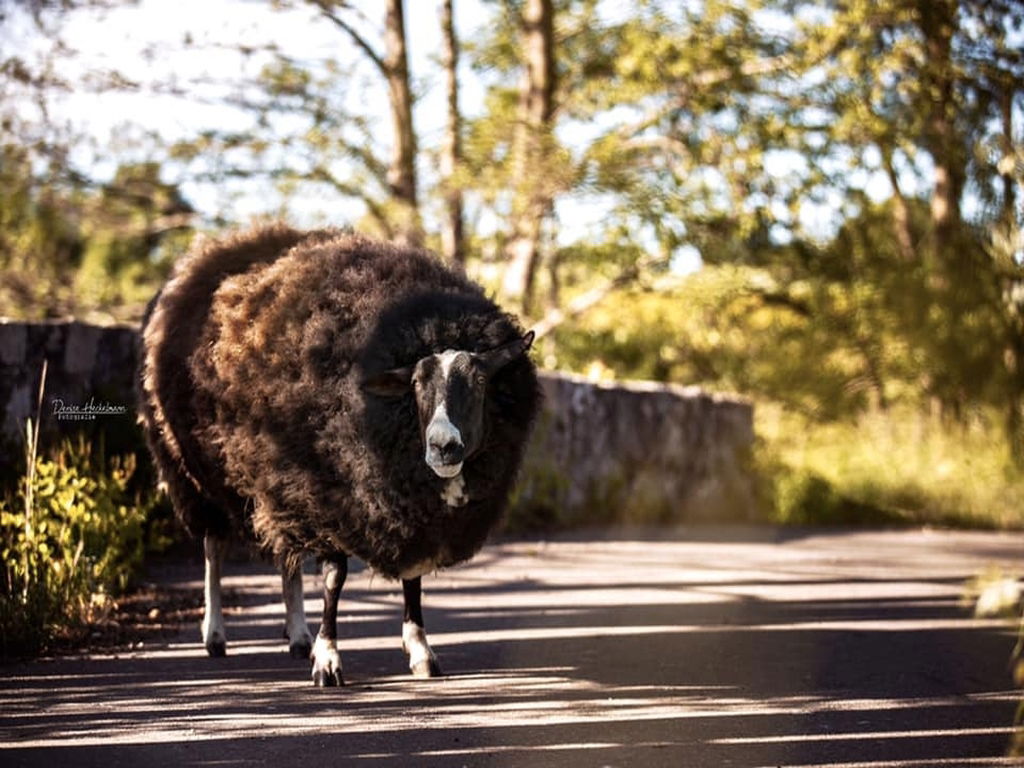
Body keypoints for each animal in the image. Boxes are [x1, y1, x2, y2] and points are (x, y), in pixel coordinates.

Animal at [140, 222, 540, 684]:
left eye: (479, 382)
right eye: (416, 385)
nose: (444, 446)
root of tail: (217, 250)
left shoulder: (407, 513)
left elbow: (413, 578)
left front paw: (420, 649)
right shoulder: (328, 496)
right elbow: (334, 578)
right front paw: (328, 659)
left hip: (276, 482)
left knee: (286, 557)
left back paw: (298, 635)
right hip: (199, 477)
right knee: (213, 550)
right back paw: (216, 633)